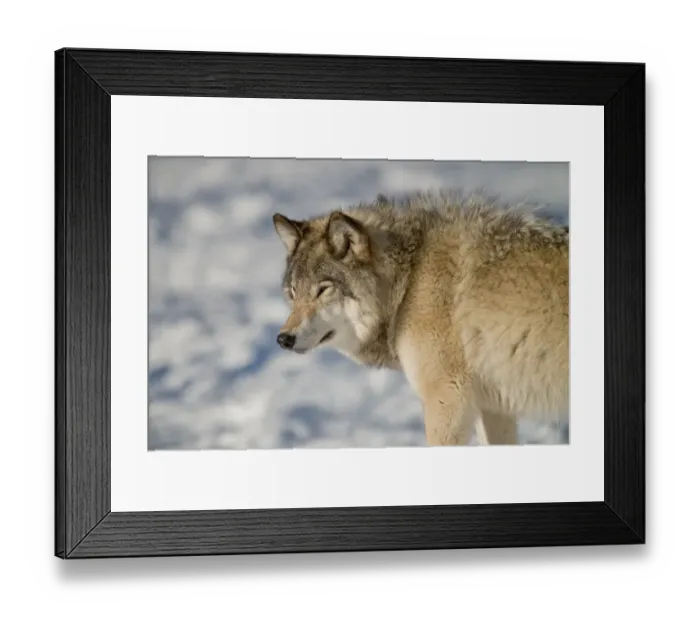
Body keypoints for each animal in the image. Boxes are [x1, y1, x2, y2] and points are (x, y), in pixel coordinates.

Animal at [272, 191, 569, 446]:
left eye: (323, 290)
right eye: (293, 293)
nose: (283, 339)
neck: (407, 280)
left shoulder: (448, 399)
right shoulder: (493, 408)